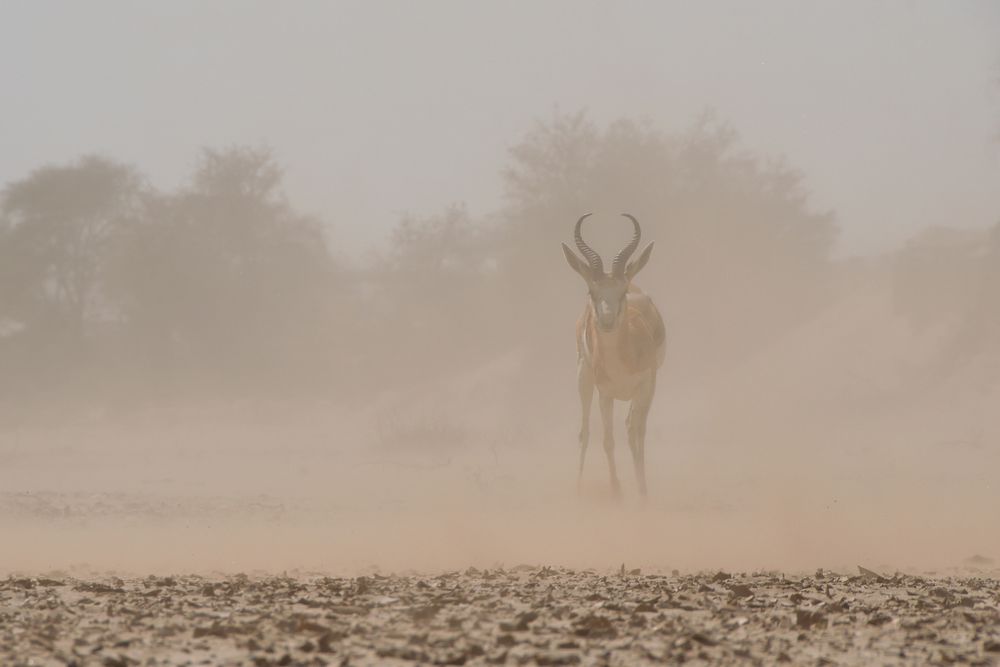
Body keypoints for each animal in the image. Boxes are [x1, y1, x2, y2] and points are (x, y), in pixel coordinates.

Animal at [564, 214, 664, 500]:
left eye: (622, 292)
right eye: (592, 292)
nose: (607, 321)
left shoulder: (645, 386)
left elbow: (636, 433)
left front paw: (642, 493)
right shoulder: (605, 393)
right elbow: (608, 440)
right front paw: (617, 492)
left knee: (634, 427)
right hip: (583, 378)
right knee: (585, 432)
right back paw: (578, 487)